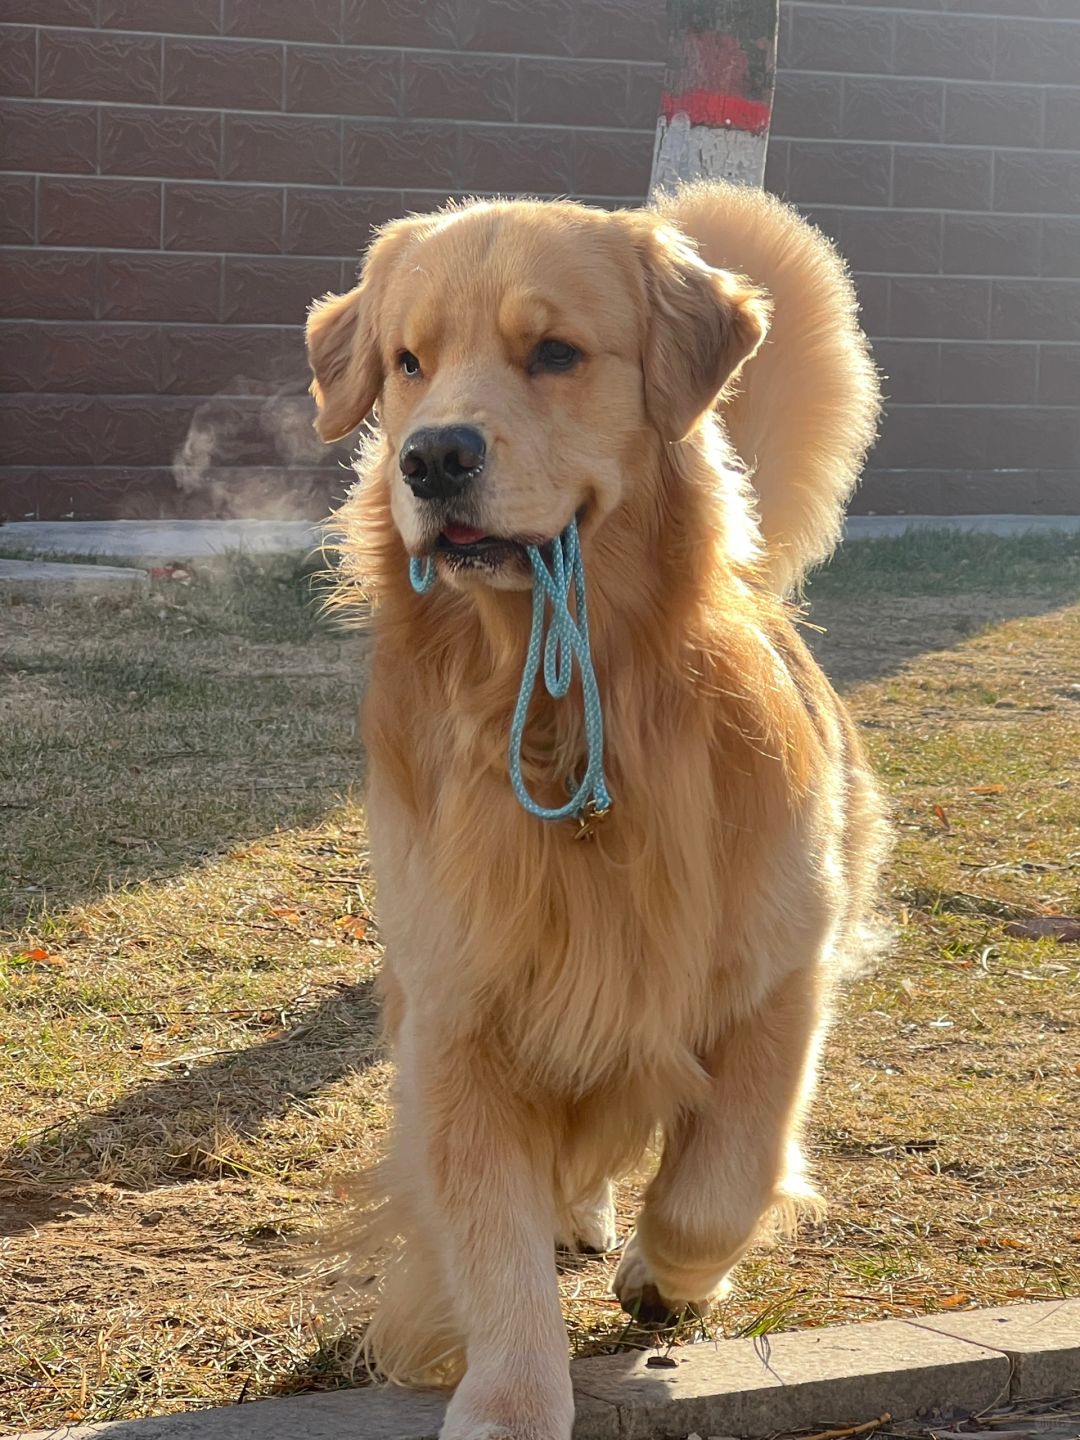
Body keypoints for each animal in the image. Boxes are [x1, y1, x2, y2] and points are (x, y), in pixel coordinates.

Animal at [305, 182, 887, 1440]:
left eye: (556, 353)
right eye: (409, 362)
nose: (432, 456)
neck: (562, 716)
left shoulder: (780, 974)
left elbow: (723, 1180)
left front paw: (668, 1276)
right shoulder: (456, 1012)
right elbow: (494, 1238)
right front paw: (509, 1400)